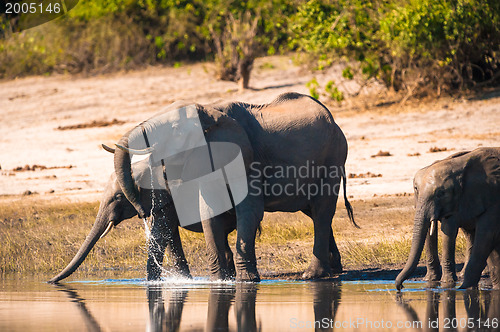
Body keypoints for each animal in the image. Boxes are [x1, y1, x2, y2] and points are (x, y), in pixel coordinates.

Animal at [394, 147, 500, 290]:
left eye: (441, 193)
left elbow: (449, 230)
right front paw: (432, 280)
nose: (400, 287)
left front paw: (447, 283)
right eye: (416, 189)